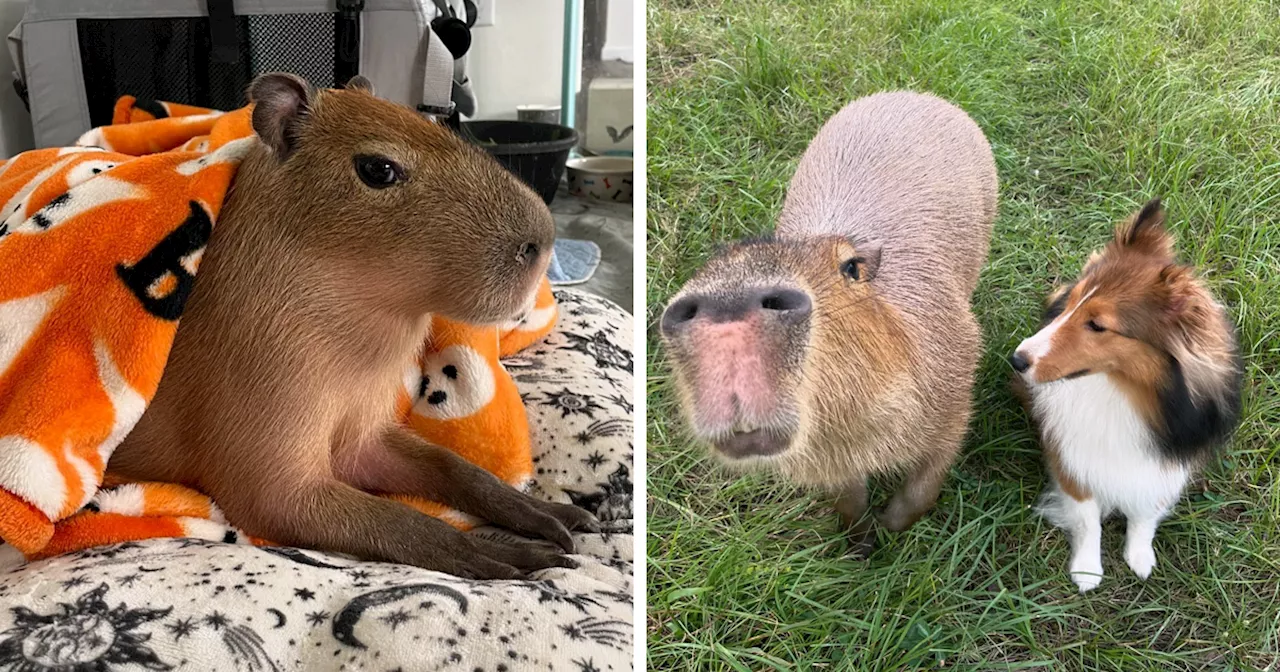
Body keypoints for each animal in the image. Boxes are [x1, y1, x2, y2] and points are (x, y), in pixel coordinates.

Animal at [1008, 197, 1239, 588]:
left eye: (1097, 325)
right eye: (1071, 302)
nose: (1017, 360)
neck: (1121, 391)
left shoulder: (1165, 464)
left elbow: (1145, 512)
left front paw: (1140, 555)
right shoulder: (1072, 458)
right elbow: (1087, 517)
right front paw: (1087, 569)